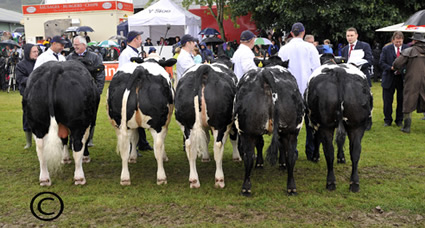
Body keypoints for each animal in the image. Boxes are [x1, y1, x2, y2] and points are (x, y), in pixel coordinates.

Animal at [107, 58, 175, 186]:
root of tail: (140, 70)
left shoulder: (132, 125)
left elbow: (135, 138)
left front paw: (133, 157)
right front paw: (165, 157)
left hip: (119, 124)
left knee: (124, 148)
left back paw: (125, 178)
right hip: (158, 125)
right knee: (158, 147)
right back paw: (161, 177)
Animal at [173, 57, 238, 189]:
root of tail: (205, 68)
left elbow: (205, 139)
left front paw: (205, 157)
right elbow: (233, 138)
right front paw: (236, 157)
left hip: (186, 124)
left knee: (190, 147)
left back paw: (194, 180)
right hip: (220, 124)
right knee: (218, 147)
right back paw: (219, 180)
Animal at [232, 62, 304, 196]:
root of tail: (266, 72)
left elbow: (260, 144)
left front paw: (260, 163)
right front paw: (281, 163)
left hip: (247, 132)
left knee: (248, 156)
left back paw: (246, 188)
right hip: (292, 131)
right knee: (292, 155)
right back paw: (291, 187)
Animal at [304, 62, 372, 192]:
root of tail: (340, 72)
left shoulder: (314, 123)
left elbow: (317, 140)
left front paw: (315, 157)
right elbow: (341, 140)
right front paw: (341, 158)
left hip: (325, 126)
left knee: (329, 151)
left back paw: (330, 182)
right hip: (357, 125)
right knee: (355, 151)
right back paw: (354, 183)